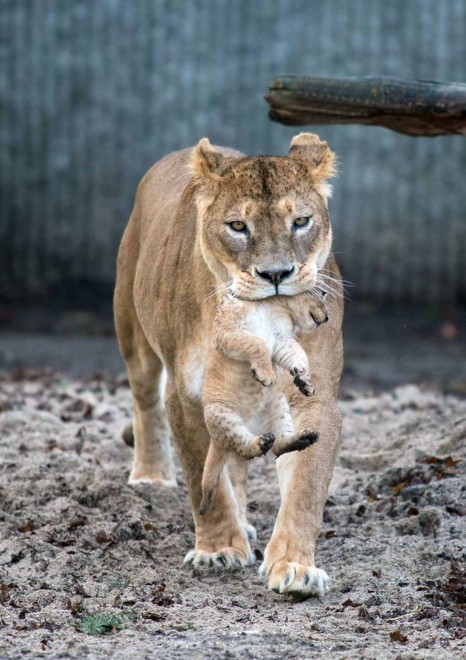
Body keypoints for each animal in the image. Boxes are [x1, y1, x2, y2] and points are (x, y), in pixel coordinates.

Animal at [200, 290, 329, 515]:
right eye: (322, 296)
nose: (328, 317)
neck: (275, 307)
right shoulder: (227, 332)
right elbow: (256, 344)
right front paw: (266, 376)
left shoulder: (281, 340)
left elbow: (298, 354)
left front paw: (305, 382)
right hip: (220, 413)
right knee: (241, 445)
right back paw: (260, 442)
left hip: (278, 403)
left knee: (279, 446)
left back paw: (303, 438)